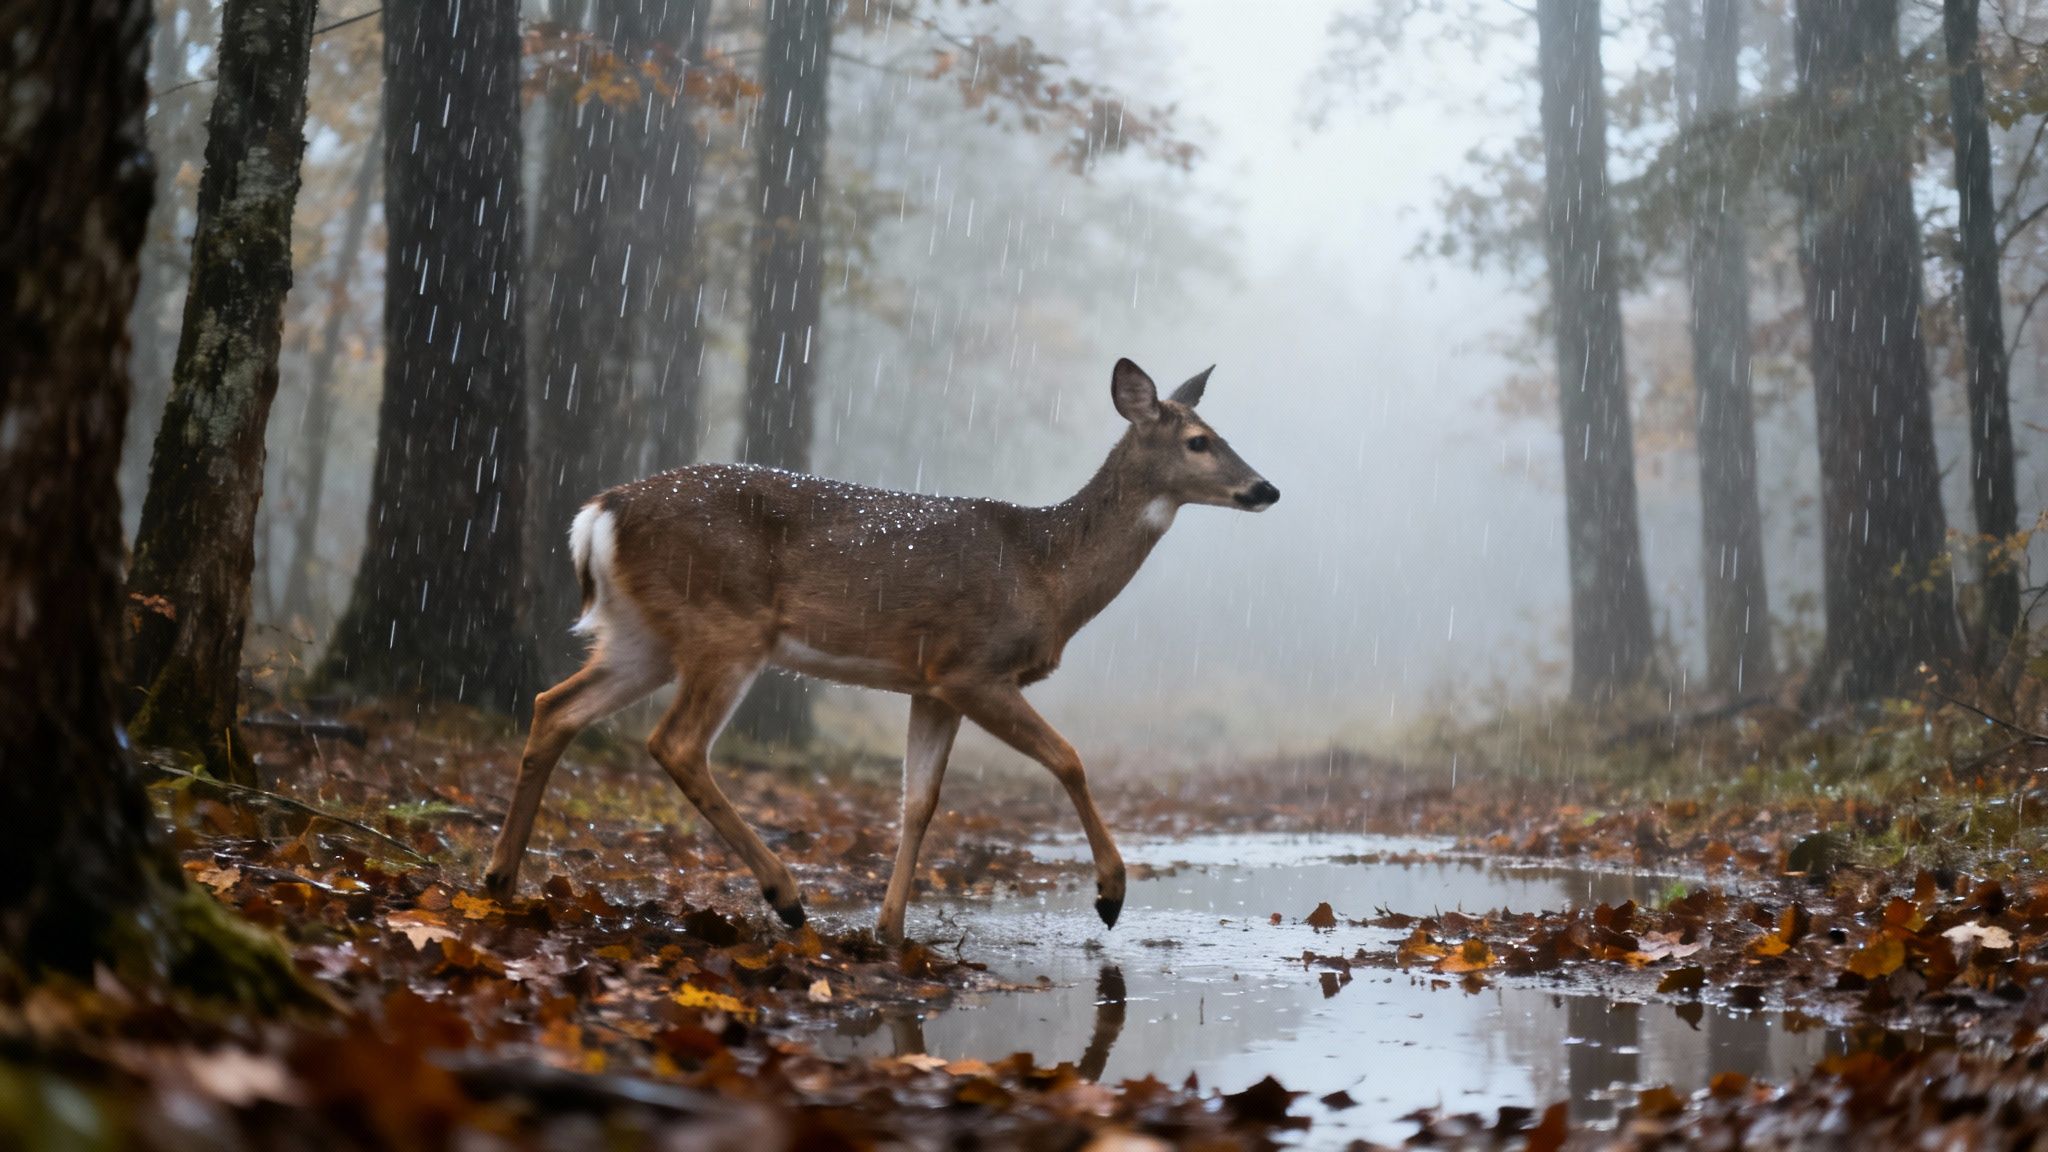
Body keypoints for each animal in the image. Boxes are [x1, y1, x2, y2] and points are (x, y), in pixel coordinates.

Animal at [482, 358, 1279, 944]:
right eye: (1198, 440)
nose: (1265, 487)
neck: (1045, 573)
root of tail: (601, 512)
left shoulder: (930, 685)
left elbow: (918, 802)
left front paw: (890, 929)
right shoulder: (973, 666)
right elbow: (1069, 758)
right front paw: (1110, 894)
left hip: (643, 635)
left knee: (555, 705)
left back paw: (500, 881)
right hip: (725, 628)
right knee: (674, 743)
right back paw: (786, 894)